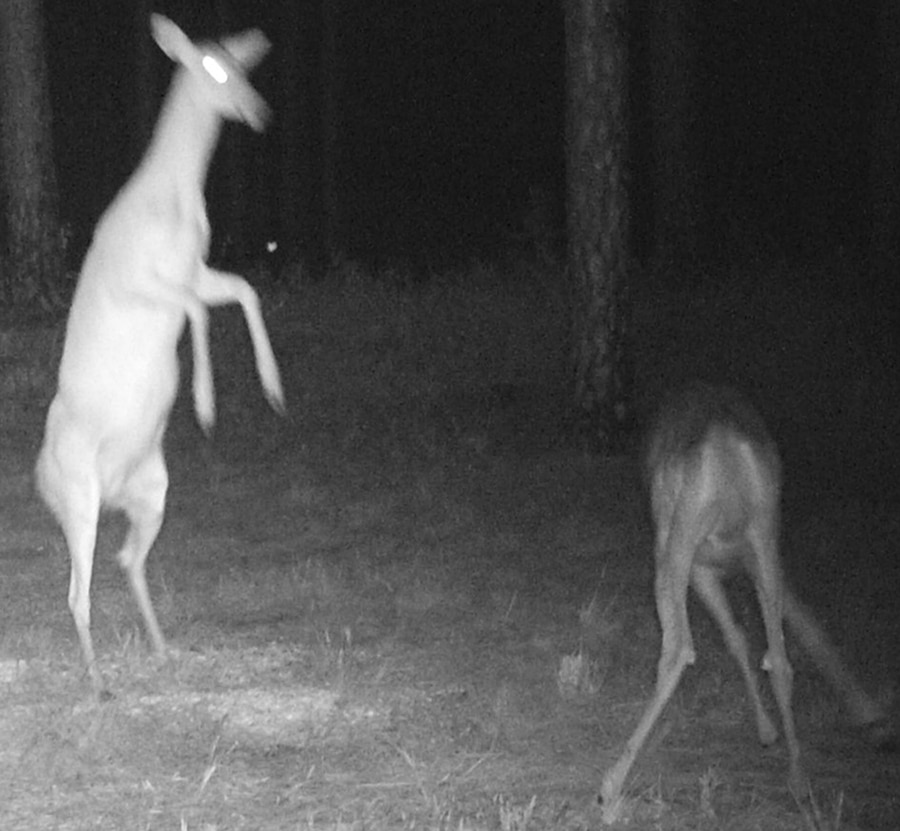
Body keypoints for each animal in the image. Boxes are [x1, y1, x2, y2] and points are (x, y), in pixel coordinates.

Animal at [35, 14, 284, 693]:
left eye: (243, 65)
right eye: (215, 68)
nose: (260, 112)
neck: (173, 198)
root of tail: (39, 478)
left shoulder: (195, 270)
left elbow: (245, 292)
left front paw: (273, 389)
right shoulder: (138, 279)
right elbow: (199, 312)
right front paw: (204, 405)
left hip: (152, 490)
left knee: (126, 559)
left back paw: (161, 649)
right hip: (78, 494)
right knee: (75, 591)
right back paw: (98, 682)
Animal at [599, 383, 892, 824]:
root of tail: (728, 446)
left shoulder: (699, 563)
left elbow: (733, 636)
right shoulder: (743, 559)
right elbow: (771, 632)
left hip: (678, 540)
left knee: (679, 648)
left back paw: (612, 781)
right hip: (766, 534)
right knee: (781, 657)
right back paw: (800, 778)